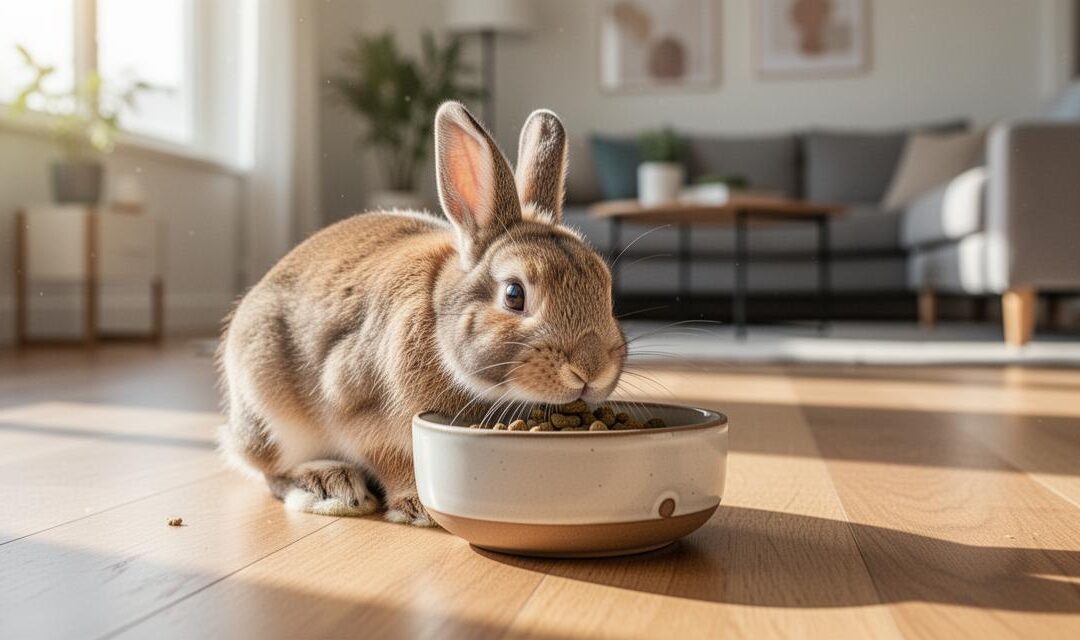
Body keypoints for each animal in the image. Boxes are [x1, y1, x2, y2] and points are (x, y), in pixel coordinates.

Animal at [217, 102, 626, 526]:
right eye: (514, 295)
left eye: (606, 289)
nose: (591, 370)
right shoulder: (360, 408)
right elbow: (394, 461)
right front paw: (416, 507)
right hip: (270, 409)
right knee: (270, 470)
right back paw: (331, 485)